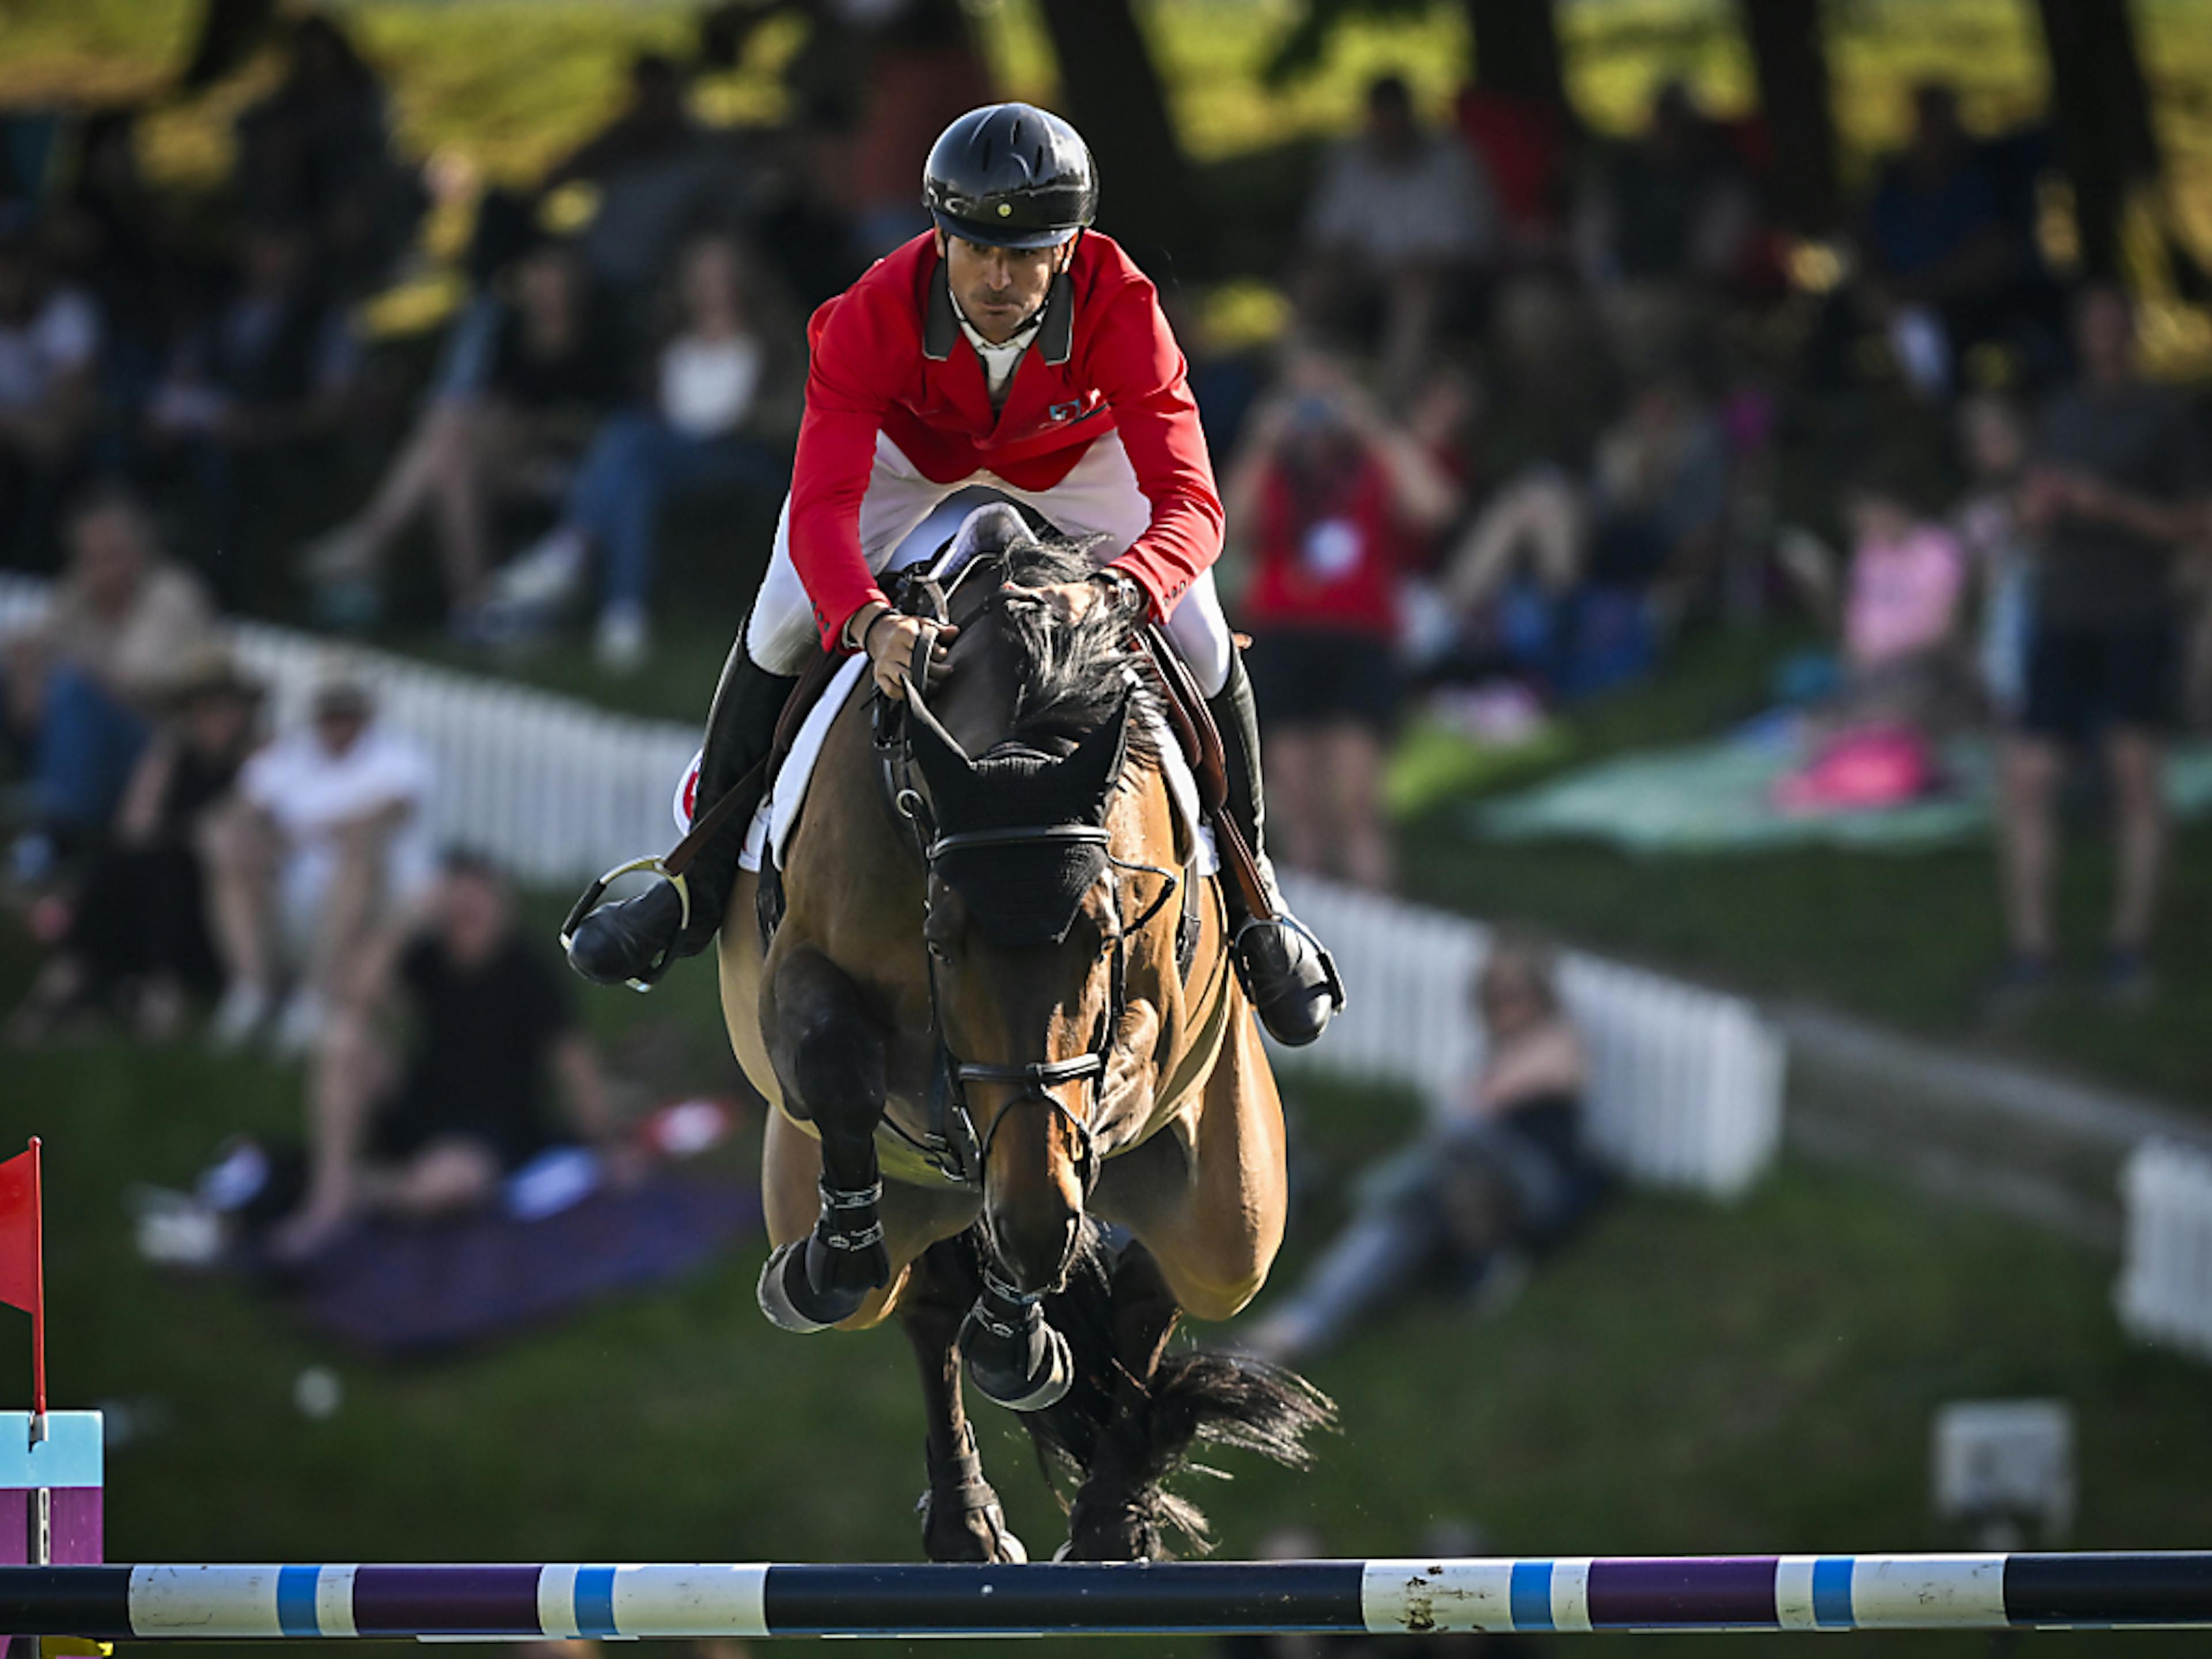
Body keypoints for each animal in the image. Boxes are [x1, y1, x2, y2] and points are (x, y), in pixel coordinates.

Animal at [717, 504, 1327, 1557]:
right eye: (942, 937)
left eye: (1107, 932)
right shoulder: (798, 979)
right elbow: (840, 1071)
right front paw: (833, 1267)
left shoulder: (1140, 1029)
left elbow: (1083, 1136)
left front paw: (1018, 1332)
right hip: (854, 1193)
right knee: (920, 1299)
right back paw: (966, 1519)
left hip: (1232, 1221)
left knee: (1160, 1282)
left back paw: (1110, 1515)